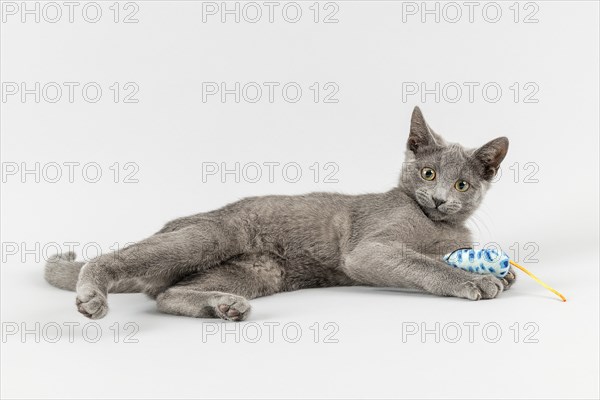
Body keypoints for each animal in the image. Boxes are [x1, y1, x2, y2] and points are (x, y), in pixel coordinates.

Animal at [45, 107, 516, 322]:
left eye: (462, 185)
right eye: (428, 173)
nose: (438, 200)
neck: (437, 225)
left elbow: (439, 256)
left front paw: (501, 272)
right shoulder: (369, 249)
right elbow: (423, 263)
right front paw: (476, 281)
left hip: (259, 270)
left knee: (166, 294)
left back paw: (223, 305)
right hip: (214, 234)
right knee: (115, 260)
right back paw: (92, 295)